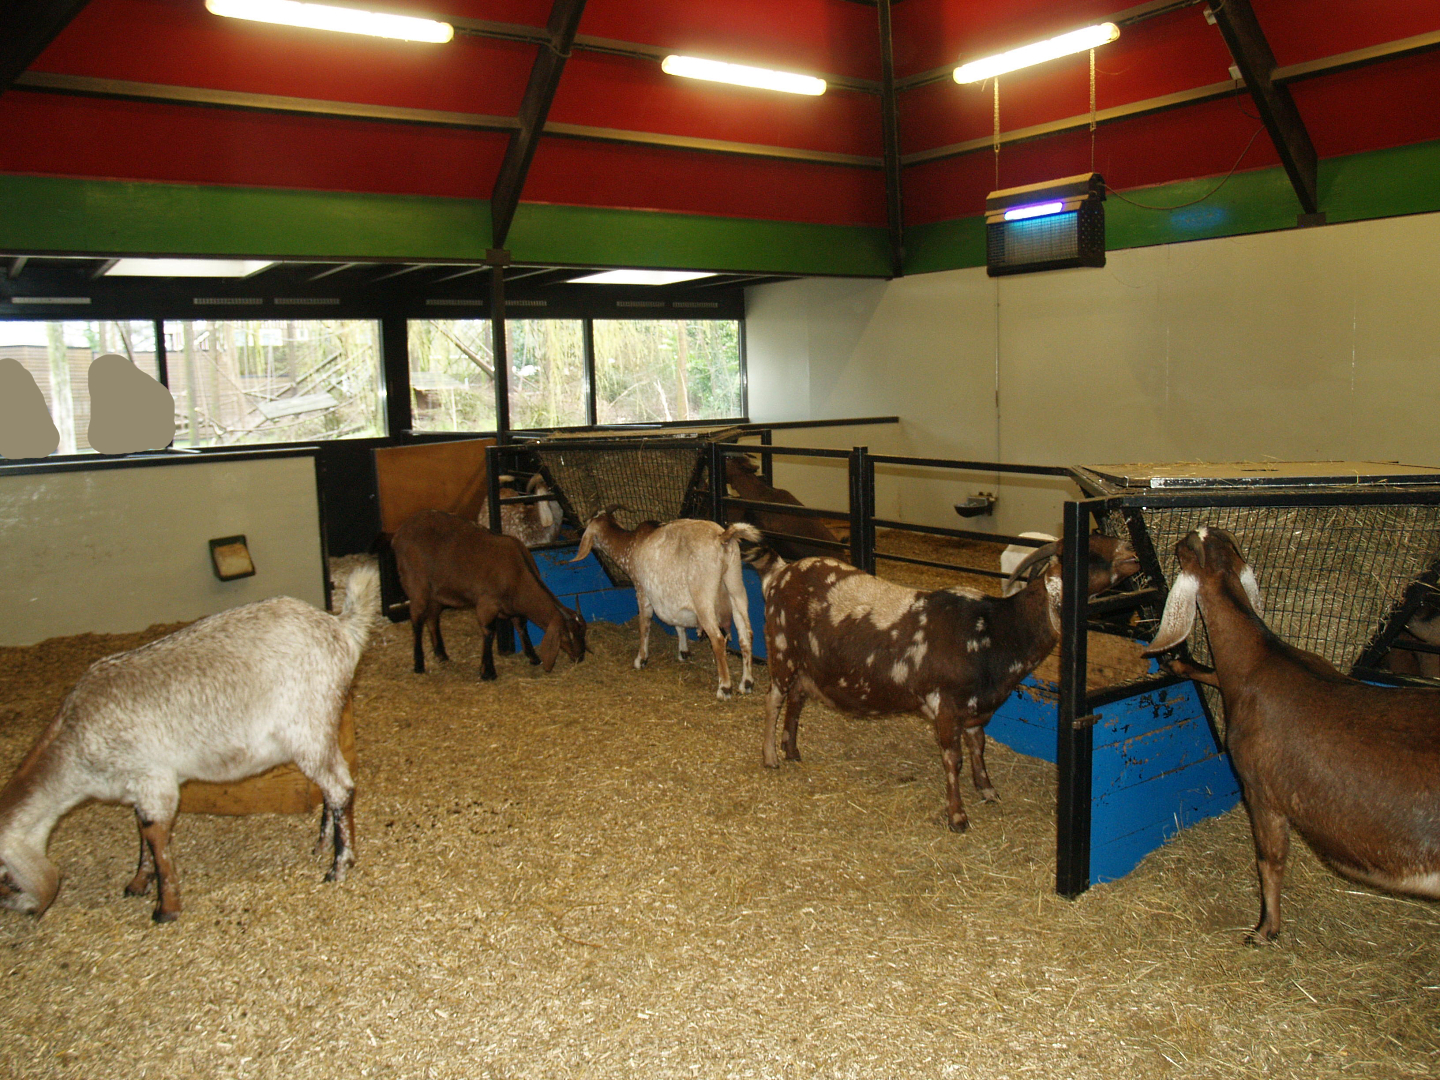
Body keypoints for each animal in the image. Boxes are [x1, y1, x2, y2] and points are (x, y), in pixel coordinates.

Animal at [0, 564, 381, 923]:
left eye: (6, 878)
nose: (23, 912)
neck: (76, 744)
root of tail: (340, 627)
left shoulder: (153, 779)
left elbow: (156, 837)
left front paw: (166, 908)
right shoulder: (139, 788)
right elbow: (142, 833)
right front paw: (138, 883)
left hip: (309, 727)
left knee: (340, 788)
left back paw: (339, 865)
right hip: (318, 732)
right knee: (329, 786)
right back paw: (322, 845)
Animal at [393, 509, 586, 681]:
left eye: (582, 632)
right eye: (567, 635)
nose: (580, 657)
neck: (518, 572)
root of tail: (400, 533)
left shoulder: (512, 607)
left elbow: (521, 626)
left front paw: (533, 657)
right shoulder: (487, 604)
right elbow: (489, 632)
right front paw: (488, 672)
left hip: (436, 592)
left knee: (432, 618)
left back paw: (442, 655)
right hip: (416, 586)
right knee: (417, 619)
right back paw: (419, 664)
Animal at [571, 508, 761, 700]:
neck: (632, 545)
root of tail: (722, 537)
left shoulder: (642, 590)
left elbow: (644, 625)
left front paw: (641, 659)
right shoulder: (671, 599)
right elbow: (678, 624)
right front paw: (683, 652)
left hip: (703, 598)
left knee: (718, 640)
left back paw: (725, 688)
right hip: (736, 589)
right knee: (746, 635)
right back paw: (747, 683)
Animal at [750, 534, 1139, 831]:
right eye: (1084, 553)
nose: (1132, 555)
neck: (995, 631)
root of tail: (780, 572)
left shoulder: (977, 708)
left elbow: (978, 747)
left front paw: (987, 790)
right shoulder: (947, 706)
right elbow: (953, 760)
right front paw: (957, 816)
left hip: (806, 665)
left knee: (797, 698)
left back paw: (792, 749)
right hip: (781, 650)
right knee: (773, 699)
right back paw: (770, 757)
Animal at [1142, 527, 1440, 944]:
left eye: (1186, 546)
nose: (1184, 536)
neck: (1262, 661)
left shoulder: (1261, 790)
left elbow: (1270, 860)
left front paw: (1265, 929)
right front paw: (1179, 663)